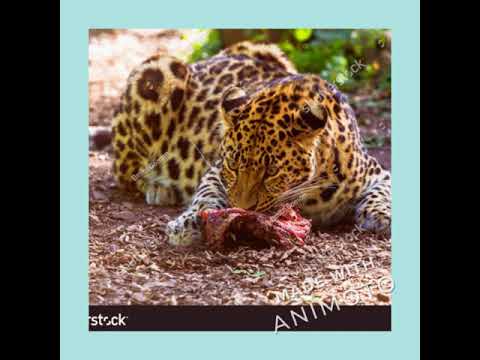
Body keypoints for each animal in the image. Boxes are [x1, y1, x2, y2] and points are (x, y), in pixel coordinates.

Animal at [111, 41, 390, 245]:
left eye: (272, 171)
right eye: (233, 165)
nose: (243, 208)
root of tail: (202, 62)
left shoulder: (377, 173)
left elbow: (381, 194)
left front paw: (381, 216)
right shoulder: (215, 169)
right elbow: (207, 194)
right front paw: (188, 222)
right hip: (158, 71)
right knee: (124, 172)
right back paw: (160, 188)